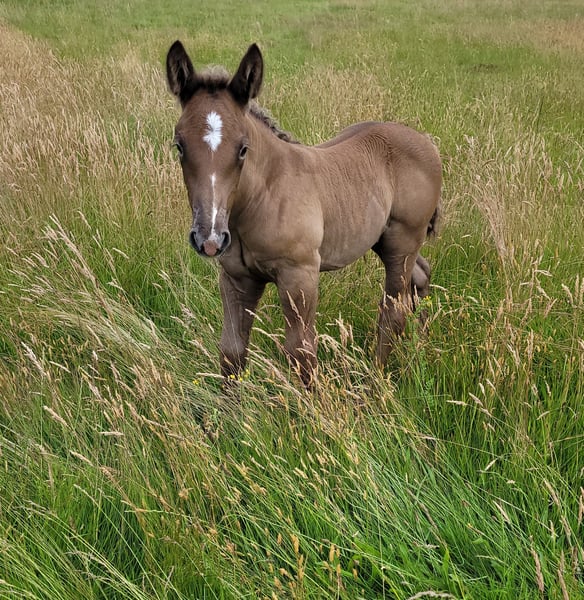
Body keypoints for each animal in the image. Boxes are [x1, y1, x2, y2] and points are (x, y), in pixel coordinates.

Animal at [166, 41, 442, 386]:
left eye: (243, 149)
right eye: (179, 146)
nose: (210, 238)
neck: (264, 195)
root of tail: (428, 145)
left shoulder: (300, 275)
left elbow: (301, 354)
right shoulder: (236, 278)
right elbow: (232, 353)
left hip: (402, 241)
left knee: (393, 310)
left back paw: (375, 381)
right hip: (385, 240)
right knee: (421, 275)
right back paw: (421, 346)